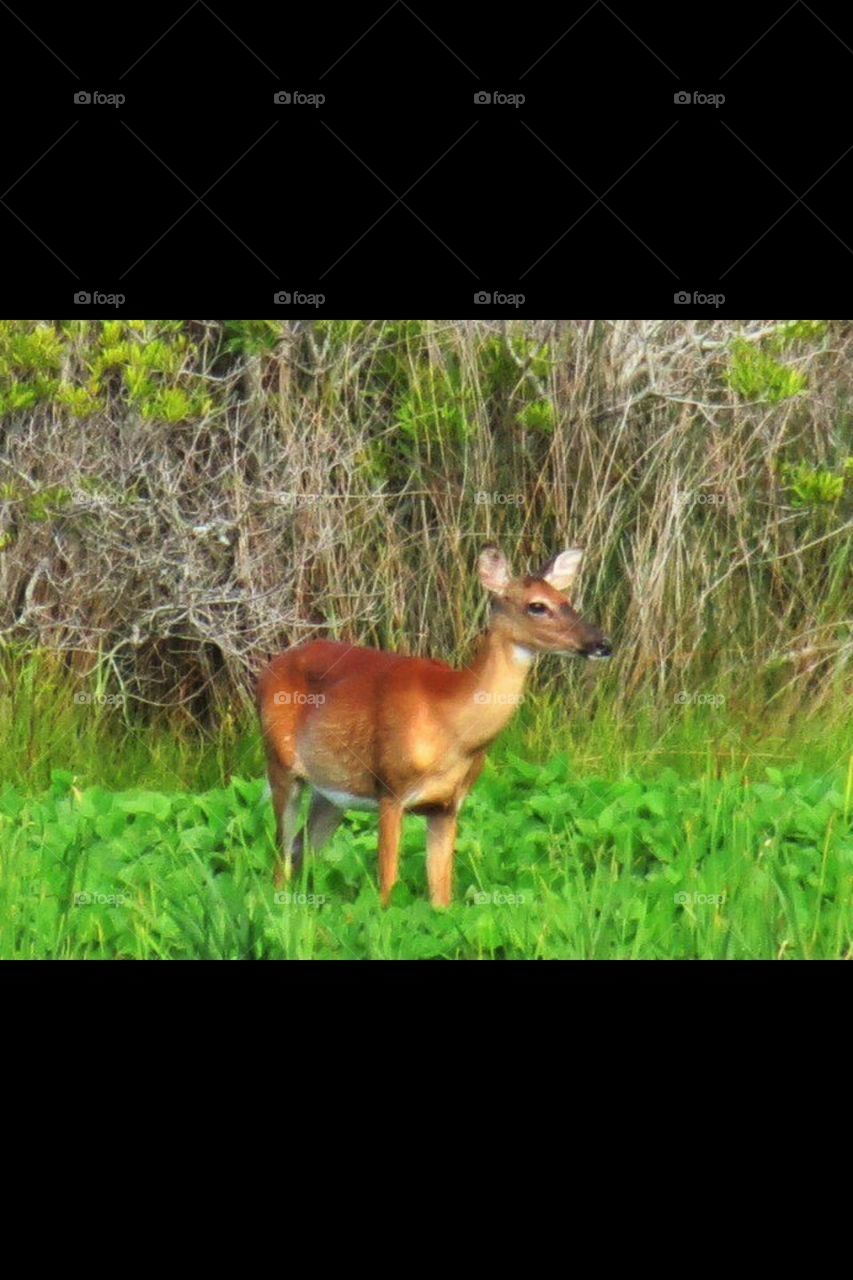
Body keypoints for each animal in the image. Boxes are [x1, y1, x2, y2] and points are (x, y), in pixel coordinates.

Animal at [256, 545, 607, 906]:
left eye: (567, 600)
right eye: (537, 606)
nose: (601, 644)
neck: (451, 723)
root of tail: (268, 669)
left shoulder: (447, 806)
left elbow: (442, 897)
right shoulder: (390, 789)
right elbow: (388, 887)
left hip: (332, 792)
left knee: (301, 849)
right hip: (280, 766)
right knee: (280, 859)